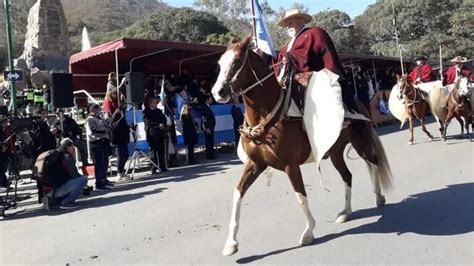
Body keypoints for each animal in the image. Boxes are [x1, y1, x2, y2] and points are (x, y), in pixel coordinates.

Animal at [211, 36, 392, 256]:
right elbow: (238, 193)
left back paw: (379, 196)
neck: (267, 116)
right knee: (347, 176)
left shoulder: (291, 165)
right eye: (220, 64)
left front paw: (308, 232)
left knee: (373, 163)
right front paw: (231, 243)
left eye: (237, 61)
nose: (217, 92)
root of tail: (357, 102)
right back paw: (346, 212)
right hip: (335, 152)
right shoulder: (255, 164)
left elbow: (300, 196)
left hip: (360, 142)